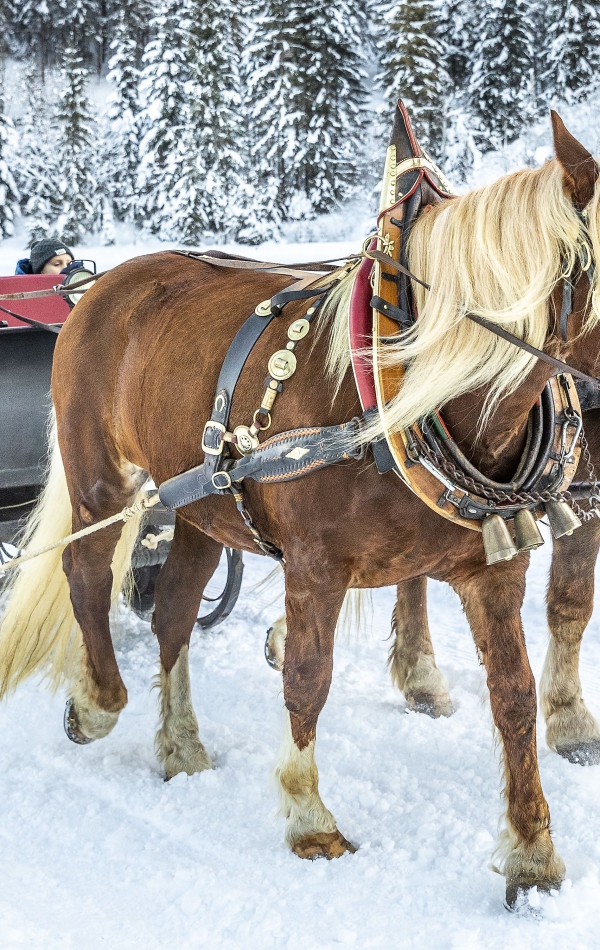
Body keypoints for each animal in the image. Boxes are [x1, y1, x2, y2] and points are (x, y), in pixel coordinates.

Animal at [1, 115, 600, 912]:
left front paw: (532, 853)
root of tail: (101, 283)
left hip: (199, 503)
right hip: (102, 477)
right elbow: (308, 677)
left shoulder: (491, 569)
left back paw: (181, 744)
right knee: (86, 571)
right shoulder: (317, 566)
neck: (407, 395)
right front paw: (310, 817)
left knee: (174, 613)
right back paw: (98, 701)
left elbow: (514, 696)